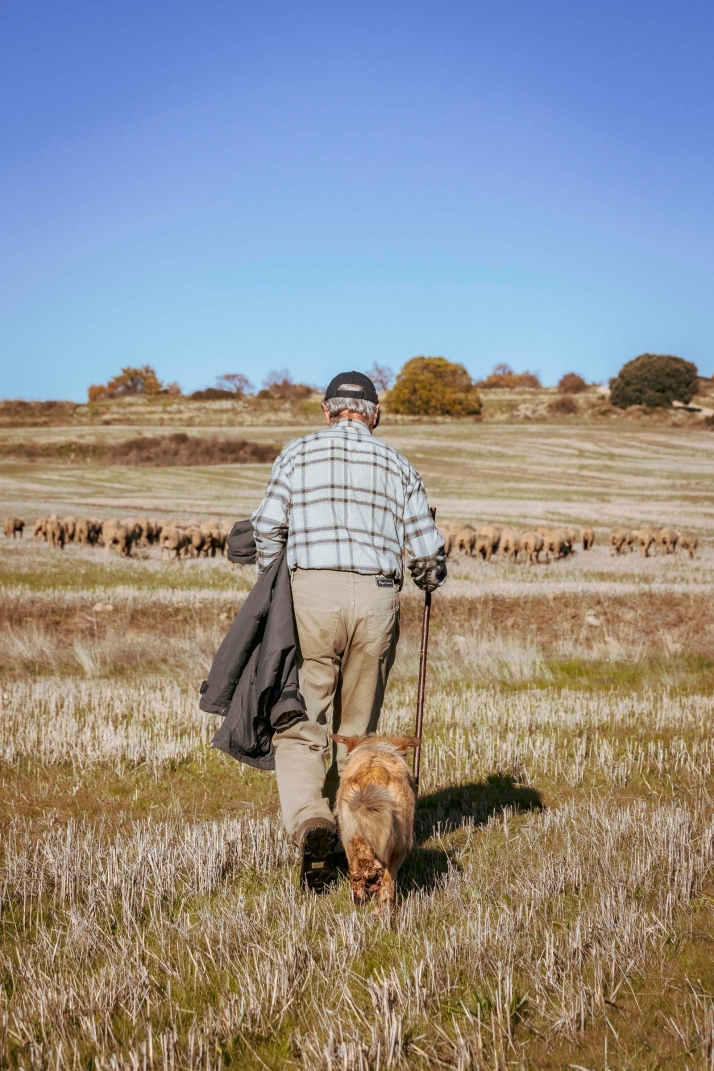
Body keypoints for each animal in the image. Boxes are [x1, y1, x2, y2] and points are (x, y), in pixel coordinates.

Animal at [331, 736, 421, 912]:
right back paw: (382, 907)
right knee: (387, 879)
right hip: (400, 840)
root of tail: (373, 773)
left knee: (359, 848)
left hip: (350, 825)